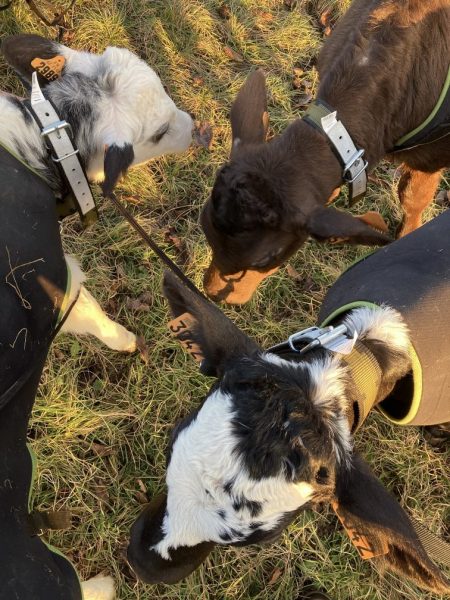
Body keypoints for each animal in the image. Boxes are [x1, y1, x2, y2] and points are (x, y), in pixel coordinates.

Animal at [202, 0, 450, 302]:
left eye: (266, 258)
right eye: (205, 226)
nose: (214, 293)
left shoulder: (432, 156)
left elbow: (413, 198)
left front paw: (406, 237)